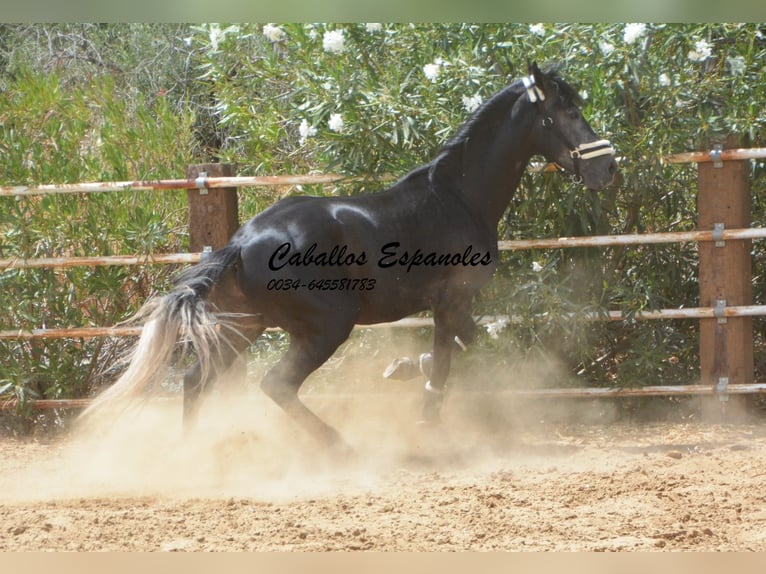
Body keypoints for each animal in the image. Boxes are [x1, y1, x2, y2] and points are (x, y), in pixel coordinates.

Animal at [84, 63, 620, 454]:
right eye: (568, 112)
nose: (609, 169)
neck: (457, 198)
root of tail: (240, 243)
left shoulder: (451, 305)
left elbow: (461, 348)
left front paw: (405, 371)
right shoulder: (452, 299)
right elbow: (450, 360)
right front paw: (424, 413)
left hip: (244, 326)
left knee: (197, 379)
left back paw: (192, 453)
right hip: (327, 325)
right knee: (276, 384)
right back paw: (339, 444)